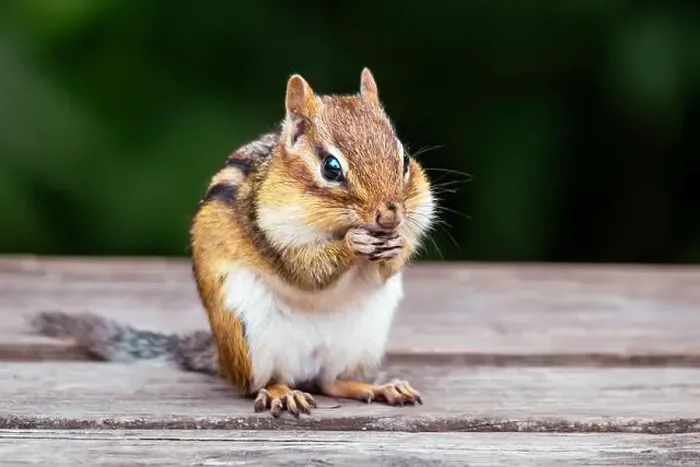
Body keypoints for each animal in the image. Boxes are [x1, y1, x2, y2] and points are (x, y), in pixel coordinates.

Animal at [29, 68, 436, 418]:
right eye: (331, 168)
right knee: (266, 381)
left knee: (330, 382)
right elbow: (307, 271)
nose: (389, 215)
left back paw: (380, 387)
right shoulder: (270, 228)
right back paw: (282, 393)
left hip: (364, 338)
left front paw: (397, 245)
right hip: (249, 331)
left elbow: (382, 271)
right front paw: (353, 242)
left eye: (403, 159)